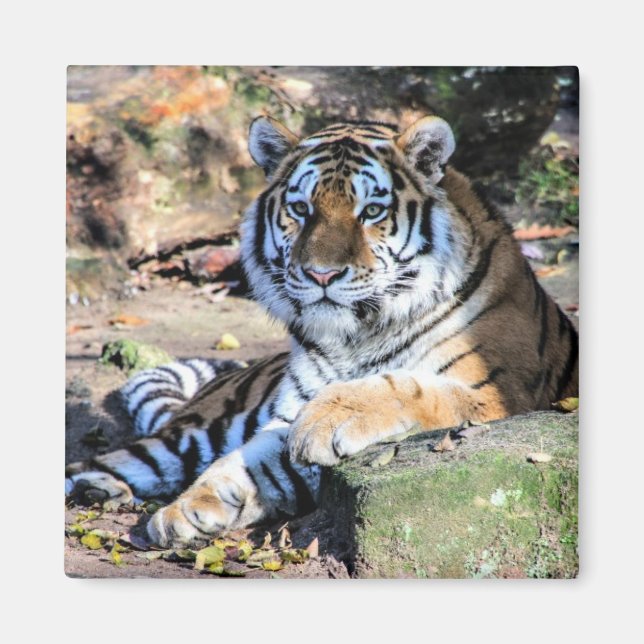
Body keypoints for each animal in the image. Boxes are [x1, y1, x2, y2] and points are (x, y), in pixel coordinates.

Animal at [65, 114, 579, 548]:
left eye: (371, 211)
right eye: (300, 208)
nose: (321, 274)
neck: (358, 334)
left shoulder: (497, 395)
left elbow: (413, 387)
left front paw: (334, 414)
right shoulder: (284, 416)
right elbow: (243, 464)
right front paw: (186, 510)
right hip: (190, 434)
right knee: (102, 462)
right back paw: (95, 487)